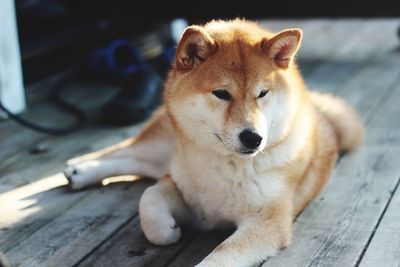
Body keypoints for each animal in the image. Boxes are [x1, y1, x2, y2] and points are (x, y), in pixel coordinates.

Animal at [64, 19, 364, 267]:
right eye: (222, 94)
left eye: (262, 94)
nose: (253, 138)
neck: (226, 167)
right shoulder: (181, 187)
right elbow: (148, 200)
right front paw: (166, 230)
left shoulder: (267, 221)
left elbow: (221, 255)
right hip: (164, 145)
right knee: (127, 150)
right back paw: (77, 168)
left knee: (136, 161)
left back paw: (77, 171)